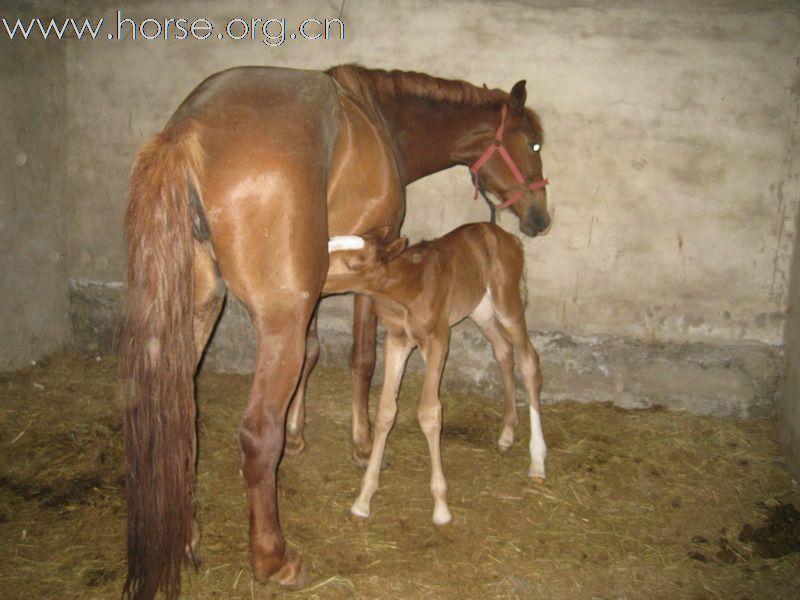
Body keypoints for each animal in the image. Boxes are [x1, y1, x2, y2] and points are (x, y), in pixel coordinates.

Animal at [324, 224, 544, 524]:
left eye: (352, 265)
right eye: (330, 242)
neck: (406, 288)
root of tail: (509, 237)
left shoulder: (438, 340)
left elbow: (429, 412)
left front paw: (441, 506)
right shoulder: (396, 340)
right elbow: (385, 411)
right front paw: (363, 499)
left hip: (507, 303)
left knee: (529, 361)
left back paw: (538, 461)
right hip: (482, 311)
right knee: (503, 352)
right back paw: (507, 434)